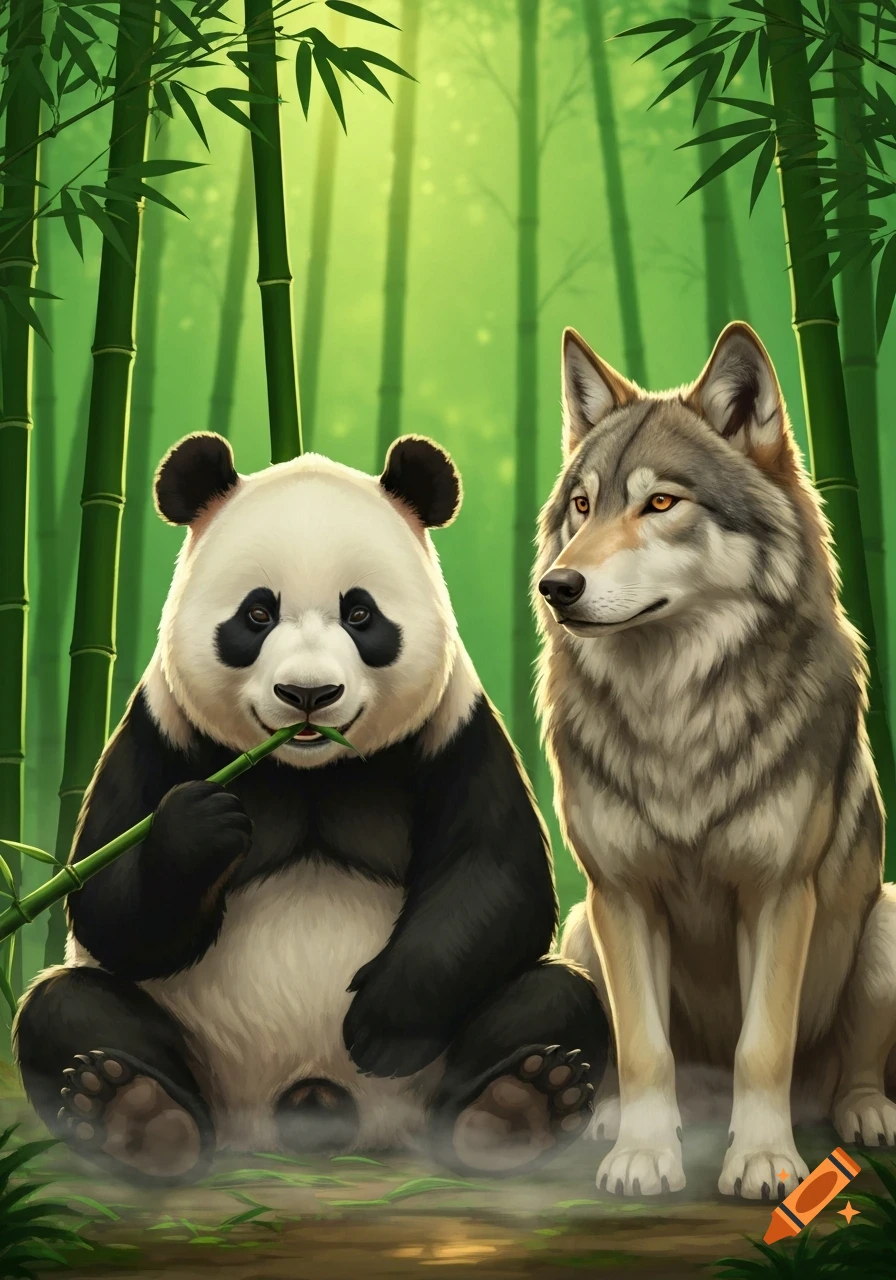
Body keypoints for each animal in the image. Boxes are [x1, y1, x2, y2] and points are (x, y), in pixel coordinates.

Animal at [15, 432, 609, 1186]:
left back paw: (512, 1106)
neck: (309, 772)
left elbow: (496, 877)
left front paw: (380, 1021)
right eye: (256, 614)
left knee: (557, 998)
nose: (307, 694)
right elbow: (107, 899)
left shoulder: (455, 730)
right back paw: (137, 1111)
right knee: (65, 1008)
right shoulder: (158, 730)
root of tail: (310, 1108)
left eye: (360, 614)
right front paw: (202, 829)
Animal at [534, 321, 896, 1201]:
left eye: (661, 503)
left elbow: (760, 1046)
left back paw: (864, 1113)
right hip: (580, 929)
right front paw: (642, 1155)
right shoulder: (622, 894)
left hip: (888, 923)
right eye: (583, 505)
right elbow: (644, 1047)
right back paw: (606, 1116)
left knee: (854, 1065)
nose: (555, 586)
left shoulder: (777, 894)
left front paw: (764, 1160)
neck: (676, 712)